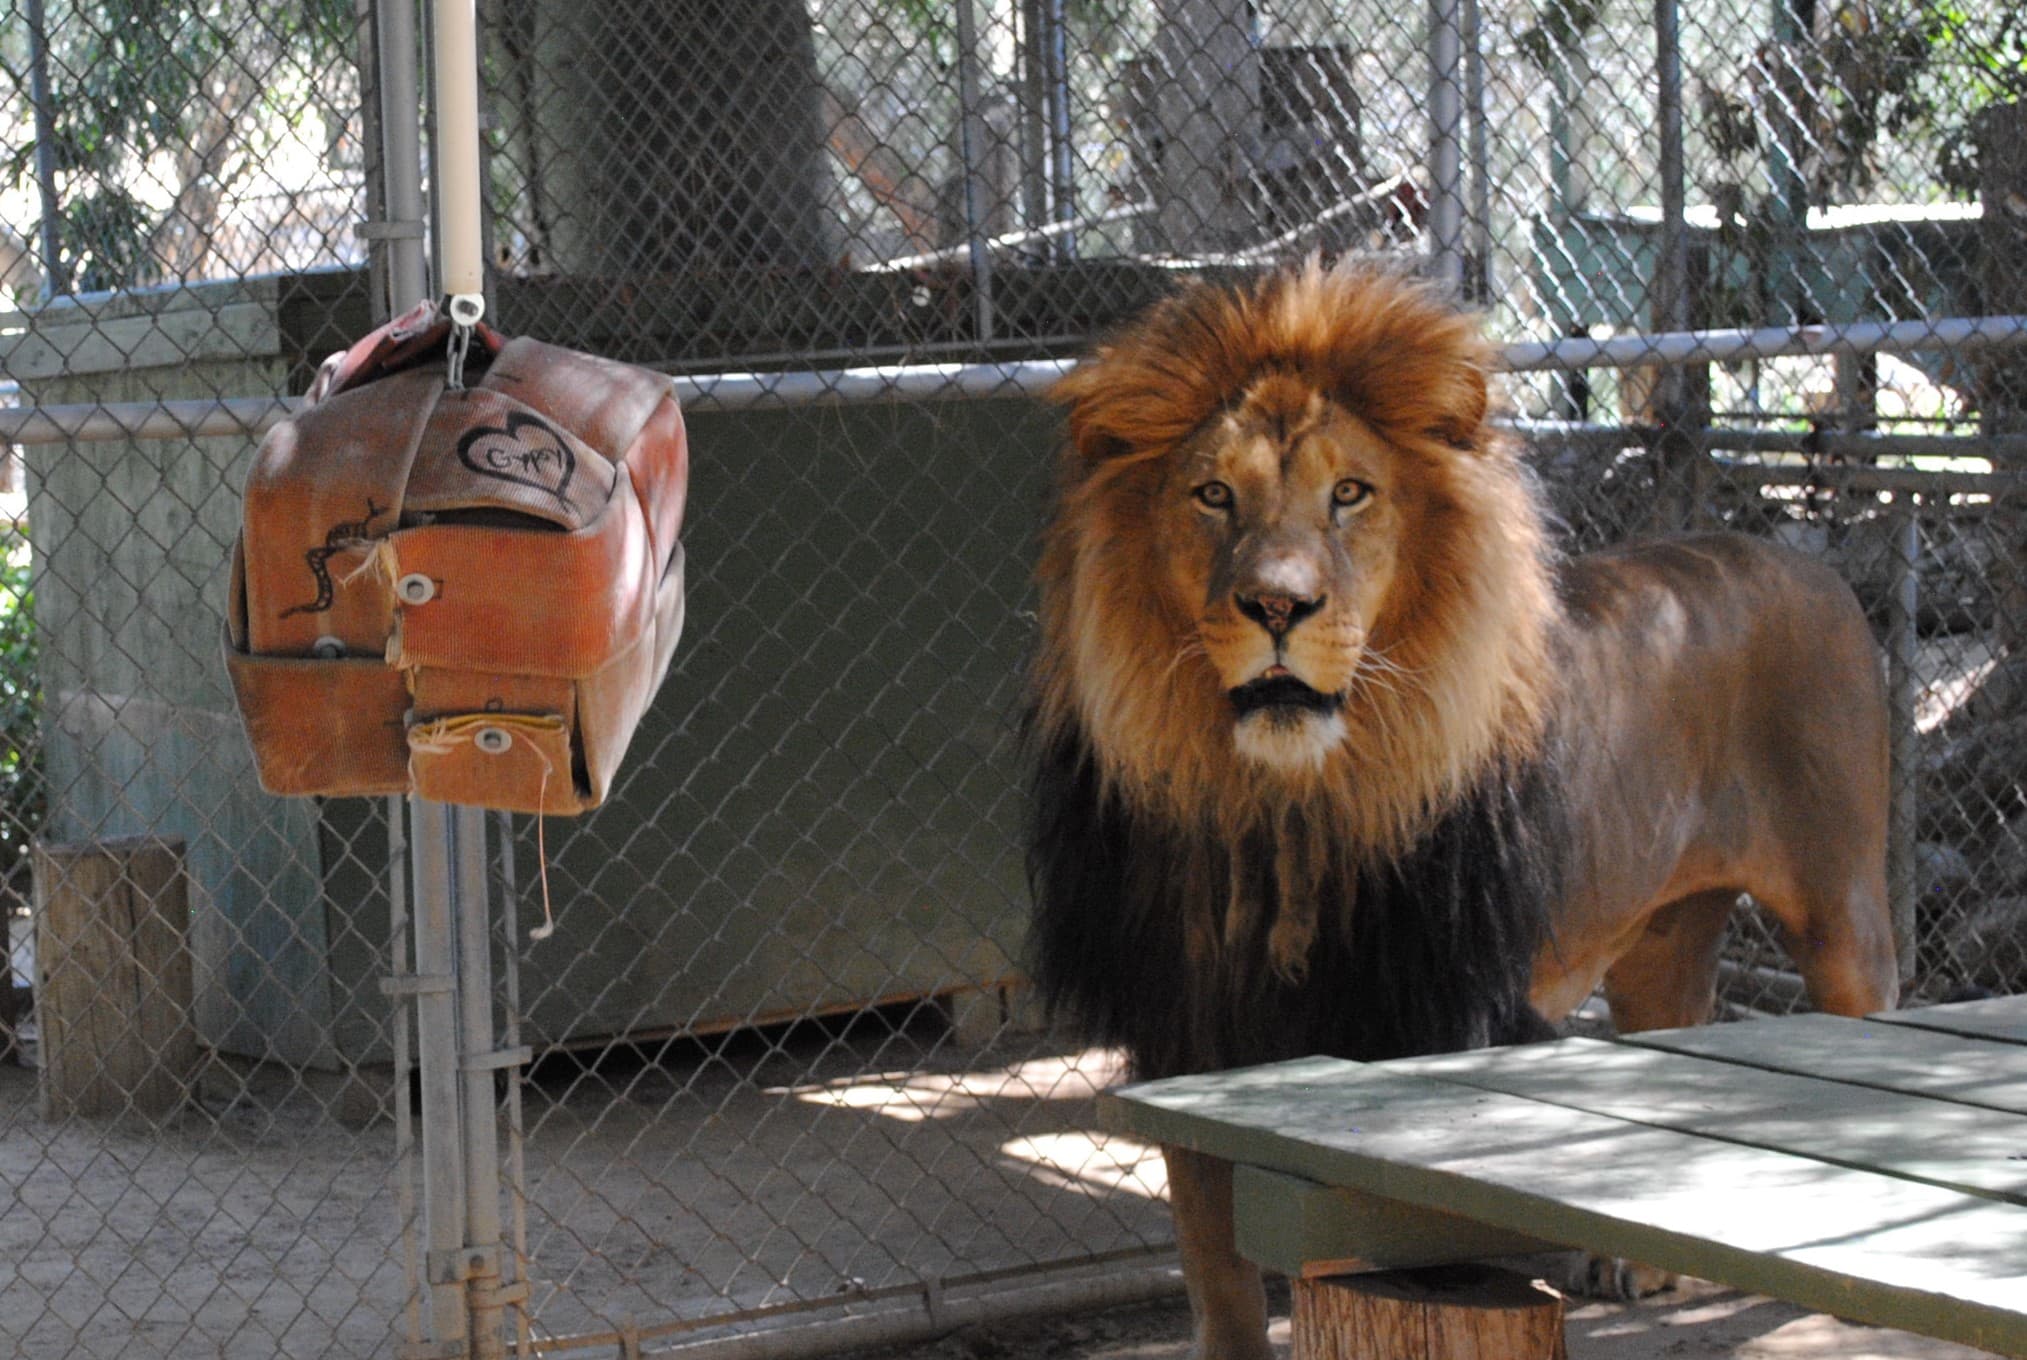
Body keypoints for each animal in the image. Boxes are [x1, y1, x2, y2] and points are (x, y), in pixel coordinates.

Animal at [1025, 262, 1900, 1360]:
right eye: (1213, 494)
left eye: (1349, 493)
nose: (1276, 608)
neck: (1285, 803)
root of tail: (1802, 557)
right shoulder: (1190, 1033)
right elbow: (1216, 1271)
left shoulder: (1418, 1017)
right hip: (1659, 930)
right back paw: (1637, 1262)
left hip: (1840, 914)